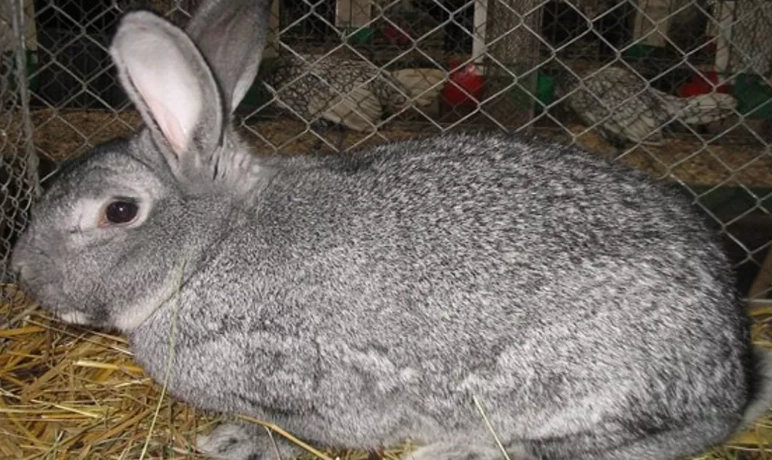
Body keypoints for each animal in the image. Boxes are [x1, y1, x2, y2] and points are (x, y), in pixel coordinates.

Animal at [10, 0, 772, 459]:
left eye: (118, 212)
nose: (20, 272)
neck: (208, 252)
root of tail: (731, 373)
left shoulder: (304, 380)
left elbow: (308, 432)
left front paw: (235, 443)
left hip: (584, 379)